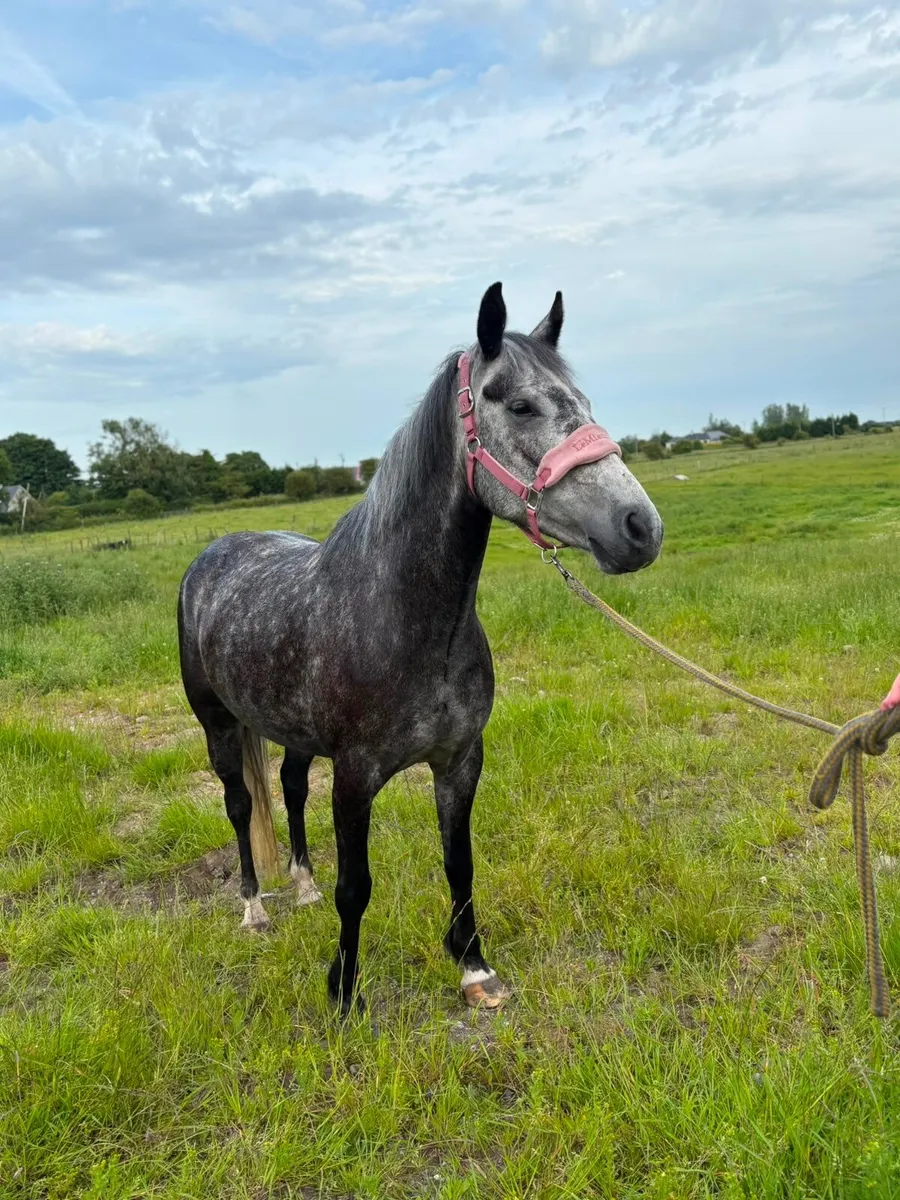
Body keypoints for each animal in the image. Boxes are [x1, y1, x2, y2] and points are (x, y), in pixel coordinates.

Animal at [177, 282, 664, 1016]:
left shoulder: (460, 760)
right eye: (520, 405)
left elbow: (458, 863)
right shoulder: (355, 778)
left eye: (583, 402)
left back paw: (302, 885)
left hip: (291, 730)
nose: (640, 528)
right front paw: (344, 993)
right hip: (220, 727)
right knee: (240, 805)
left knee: (289, 788)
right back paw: (255, 910)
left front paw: (474, 968)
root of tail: (213, 554)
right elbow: (357, 887)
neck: (405, 620)